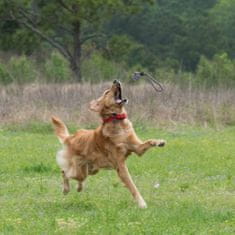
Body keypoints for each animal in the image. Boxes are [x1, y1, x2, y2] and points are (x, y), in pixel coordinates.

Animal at [51, 80, 165, 208]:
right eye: (106, 92)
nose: (116, 81)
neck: (118, 123)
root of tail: (71, 137)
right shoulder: (120, 165)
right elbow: (132, 186)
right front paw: (142, 203)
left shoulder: (137, 148)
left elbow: (149, 141)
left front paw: (159, 142)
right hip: (79, 170)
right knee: (64, 172)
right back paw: (66, 189)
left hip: (91, 170)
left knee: (78, 178)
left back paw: (79, 188)